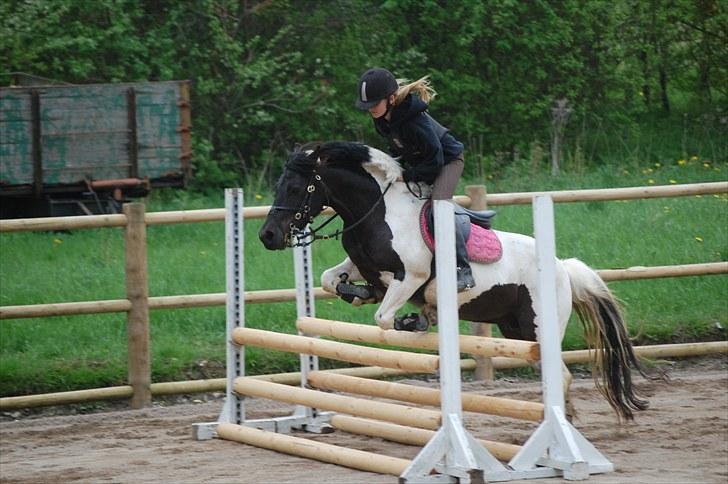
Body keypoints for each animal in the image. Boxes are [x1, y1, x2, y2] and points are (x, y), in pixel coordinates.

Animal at [259, 141, 649, 421]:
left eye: (295, 188)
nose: (268, 236)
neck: (376, 211)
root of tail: (563, 268)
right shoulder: (359, 264)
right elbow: (330, 281)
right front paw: (359, 293)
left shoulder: (411, 276)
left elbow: (384, 316)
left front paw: (414, 320)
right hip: (516, 332)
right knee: (553, 374)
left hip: (538, 328)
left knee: (561, 376)